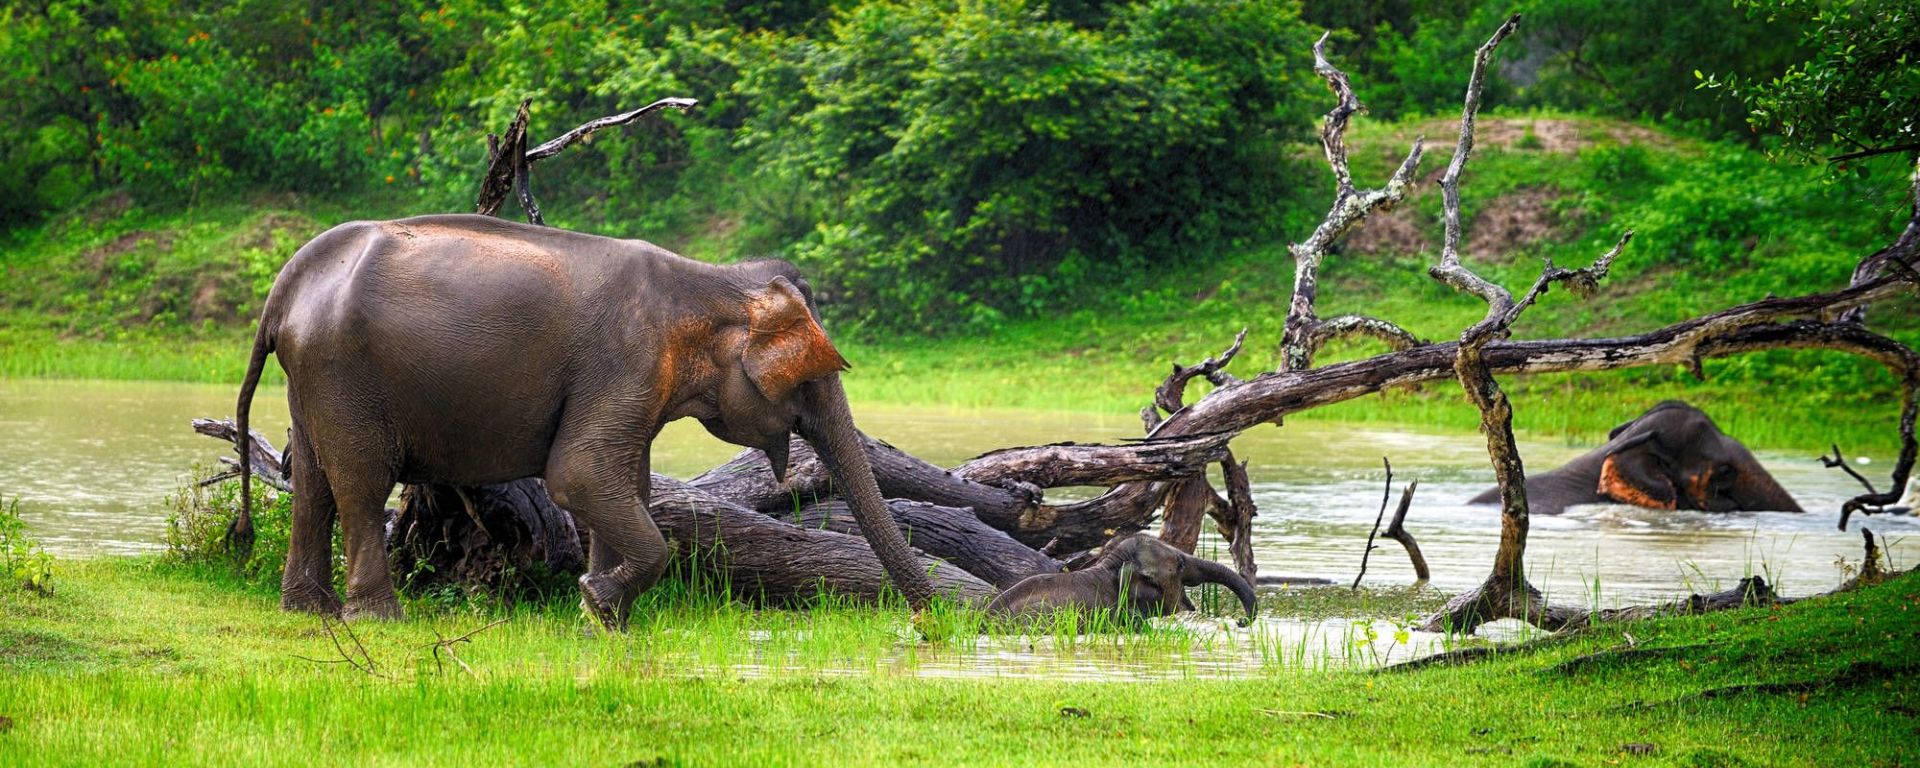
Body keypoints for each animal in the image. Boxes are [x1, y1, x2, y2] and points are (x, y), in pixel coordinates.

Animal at [232, 213, 936, 628]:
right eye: (810, 382)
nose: (931, 626)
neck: (710, 281)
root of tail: (284, 287)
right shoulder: (624, 361)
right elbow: (579, 476)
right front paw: (597, 602)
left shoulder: (635, 384)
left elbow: (624, 483)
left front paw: (602, 612)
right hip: (343, 372)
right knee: (358, 484)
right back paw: (379, 619)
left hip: (313, 376)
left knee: (312, 482)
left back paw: (308, 610)